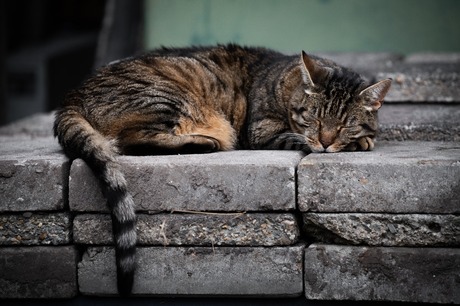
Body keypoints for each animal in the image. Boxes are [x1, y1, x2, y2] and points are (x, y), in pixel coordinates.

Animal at [54, 44, 392, 296]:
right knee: (130, 141)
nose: (325, 141)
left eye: (345, 125)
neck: (288, 83)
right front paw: (360, 143)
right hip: (168, 99)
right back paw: (207, 142)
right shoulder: (263, 131)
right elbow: (300, 139)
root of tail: (71, 96)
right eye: (315, 119)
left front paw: (363, 138)